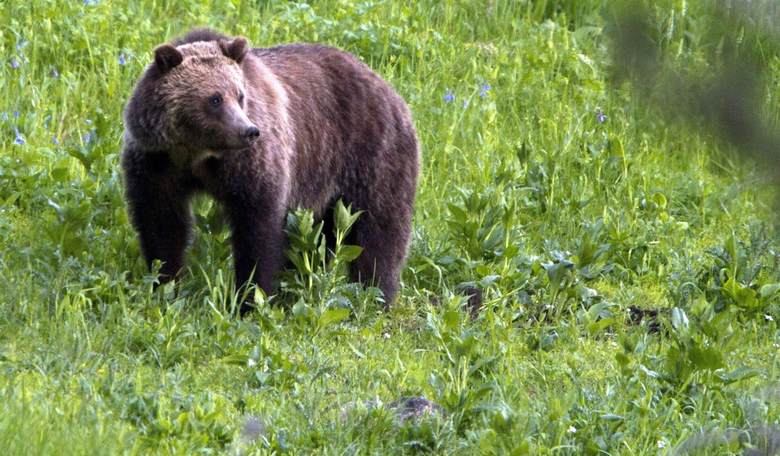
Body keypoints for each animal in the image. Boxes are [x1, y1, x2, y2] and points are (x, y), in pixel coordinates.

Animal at [121, 28, 419, 313]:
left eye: (240, 95)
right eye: (214, 99)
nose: (249, 131)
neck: (197, 154)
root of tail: (387, 87)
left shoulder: (250, 165)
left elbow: (258, 229)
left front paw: (251, 299)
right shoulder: (157, 164)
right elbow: (162, 224)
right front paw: (165, 285)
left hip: (371, 155)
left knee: (380, 230)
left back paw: (375, 296)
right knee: (320, 236)